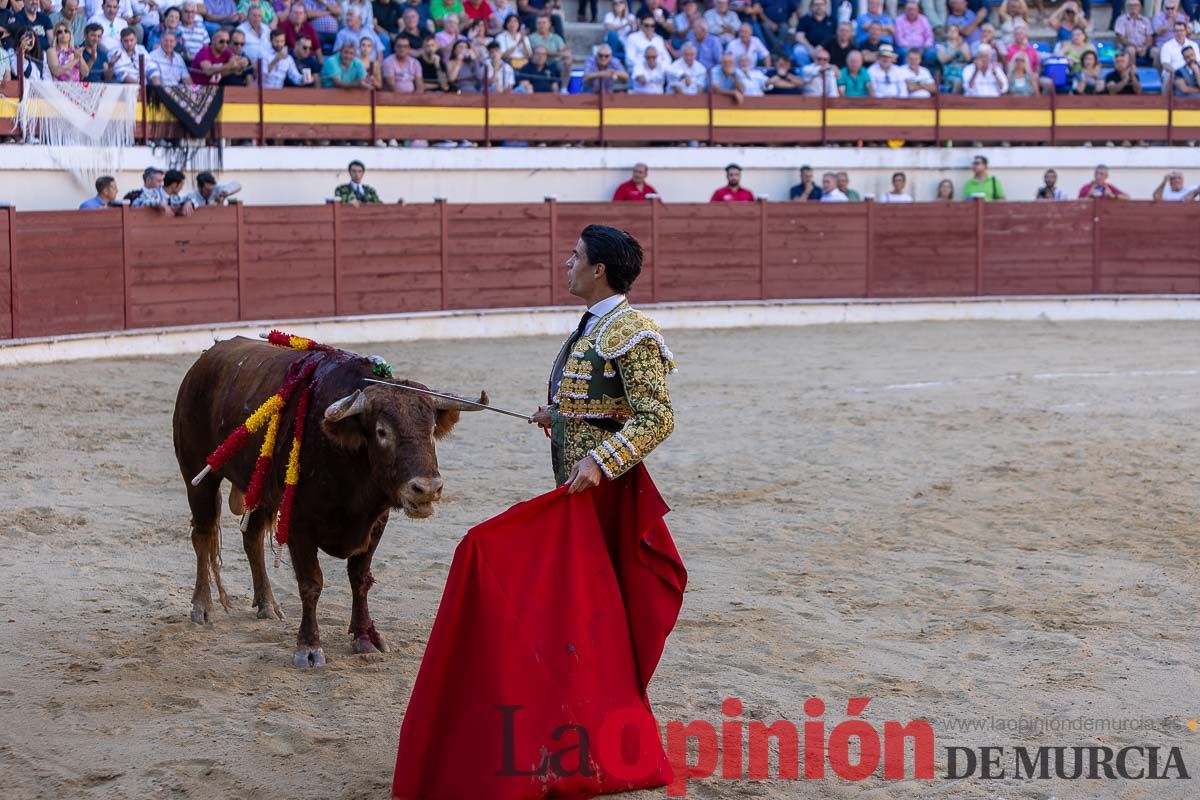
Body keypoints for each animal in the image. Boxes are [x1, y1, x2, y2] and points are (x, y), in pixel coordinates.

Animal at [174, 338, 482, 671]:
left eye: (431, 431)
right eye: (382, 431)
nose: (427, 489)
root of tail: (206, 358)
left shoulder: (376, 522)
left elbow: (360, 579)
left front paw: (364, 637)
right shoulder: (298, 525)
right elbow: (311, 584)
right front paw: (309, 647)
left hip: (261, 488)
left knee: (252, 537)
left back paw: (267, 604)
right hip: (197, 474)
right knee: (203, 534)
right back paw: (202, 607)